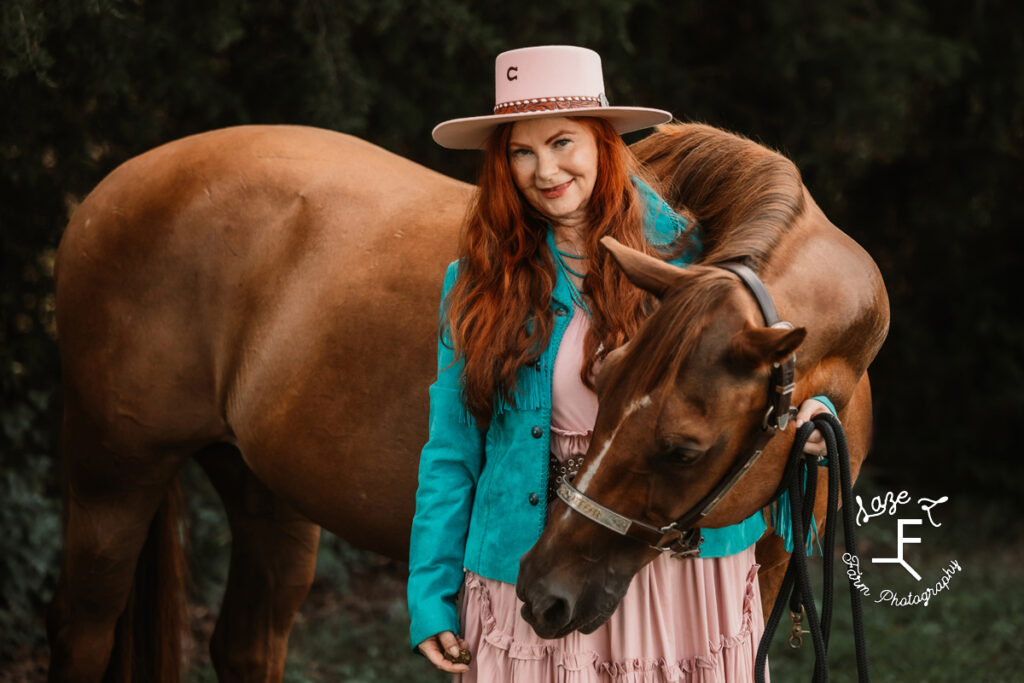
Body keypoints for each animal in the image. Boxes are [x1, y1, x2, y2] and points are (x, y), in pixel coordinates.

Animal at [48, 121, 884, 679]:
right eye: (604, 384)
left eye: (684, 446)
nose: (542, 588)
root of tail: (104, 189)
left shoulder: (770, 570)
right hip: (112, 480)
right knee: (84, 633)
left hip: (267, 495)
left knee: (246, 643)